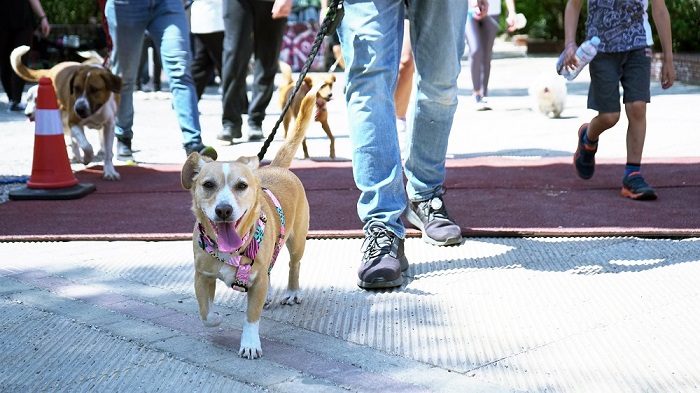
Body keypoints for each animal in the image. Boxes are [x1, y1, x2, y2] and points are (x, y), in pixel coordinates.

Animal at [10, 44, 122, 179]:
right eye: (76, 88)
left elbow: (107, 150)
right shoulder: (73, 122)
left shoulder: (109, 125)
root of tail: (52, 69)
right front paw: (87, 158)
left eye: (94, 90)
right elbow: (86, 145)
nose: (78, 109)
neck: (96, 111)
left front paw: (110, 171)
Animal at [180, 85, 314, 358]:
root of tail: (276, 167)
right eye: (207, 185)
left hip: (297, 241)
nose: (223, 210)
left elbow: (252, 316)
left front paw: (250, 343)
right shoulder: (202, 276)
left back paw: (292, 292)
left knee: (293, 265)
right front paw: (216, 318)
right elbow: (205, 313)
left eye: (241, 186)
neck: (230, 251)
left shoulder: (257, 280)